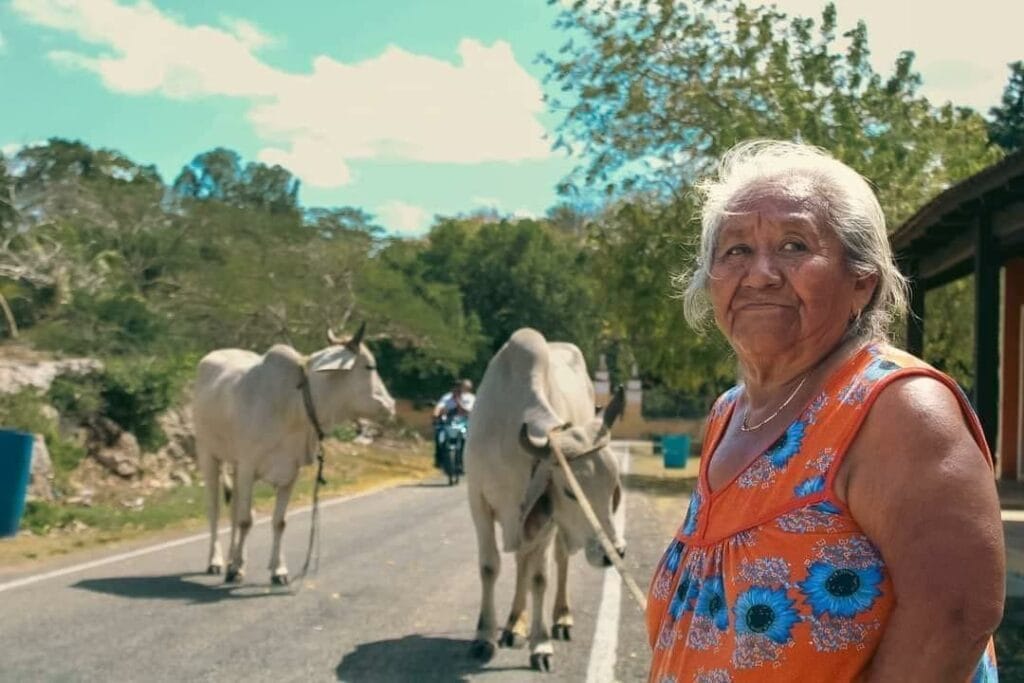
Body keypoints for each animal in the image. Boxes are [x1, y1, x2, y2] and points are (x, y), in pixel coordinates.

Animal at [193, 323, 396, 585]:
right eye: (370, 366)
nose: (391, 405)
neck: (293, 403)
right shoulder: (247, 466)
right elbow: (246, 520)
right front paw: (237, 569)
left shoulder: (289, 471)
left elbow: (278, 522)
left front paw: (277, 570)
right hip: (208, 454)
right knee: (215, 511)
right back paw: (217, 561)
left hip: (235, 466)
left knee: (235, 510)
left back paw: (232, 559)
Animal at [464, 328, 626, 672]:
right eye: (569, 491)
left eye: (612, 487)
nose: (614, 553)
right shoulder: (479, 504)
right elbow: (489, 567)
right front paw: (484, 637)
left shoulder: (547, 519)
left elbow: (540, 578)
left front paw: (540, 645)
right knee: (521, 560)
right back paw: (514, 624)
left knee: (559, 560)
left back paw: (560, 618)